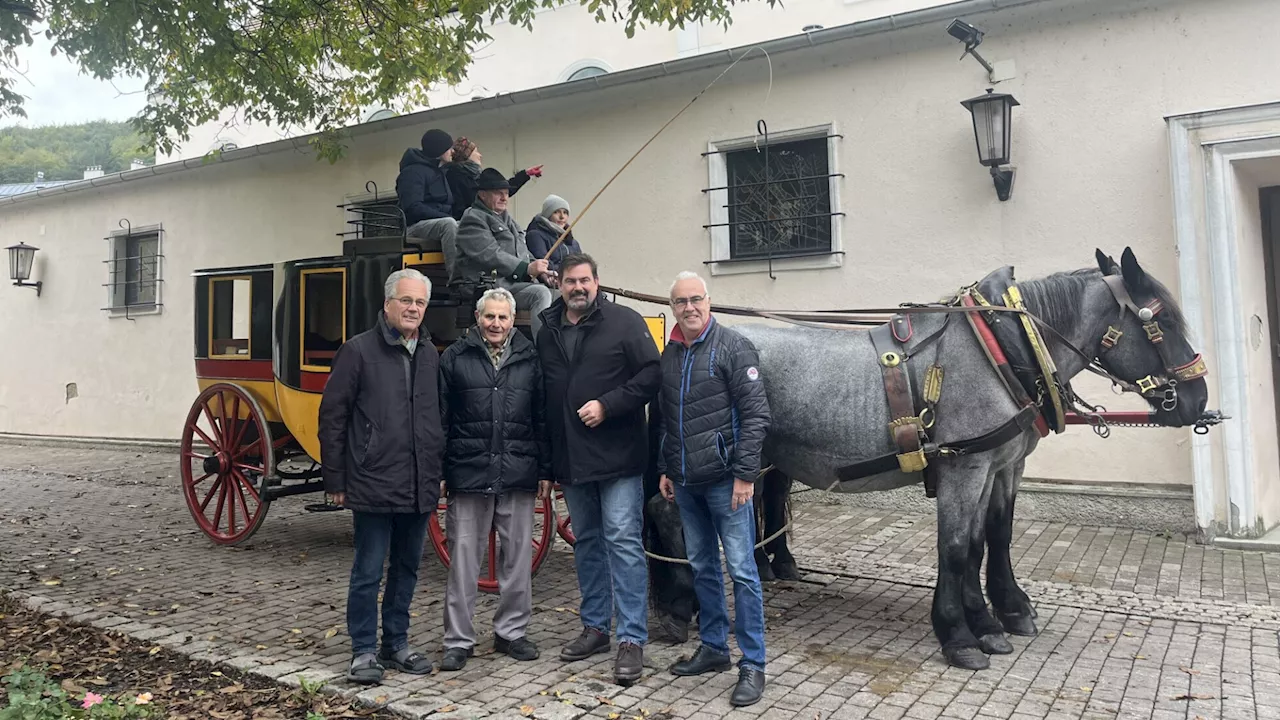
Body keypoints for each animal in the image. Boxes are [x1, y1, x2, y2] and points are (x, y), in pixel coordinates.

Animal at [650, 249, 1208, 671]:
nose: (1198, 398)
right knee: (669, 516)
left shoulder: (1000, 465)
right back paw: (680, 604)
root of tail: (683, 342)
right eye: (1161, 319)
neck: (1001, 351)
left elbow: (991, 538)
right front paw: (961, 633)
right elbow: (958, 547)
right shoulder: (967, 466)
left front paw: (999, 615)